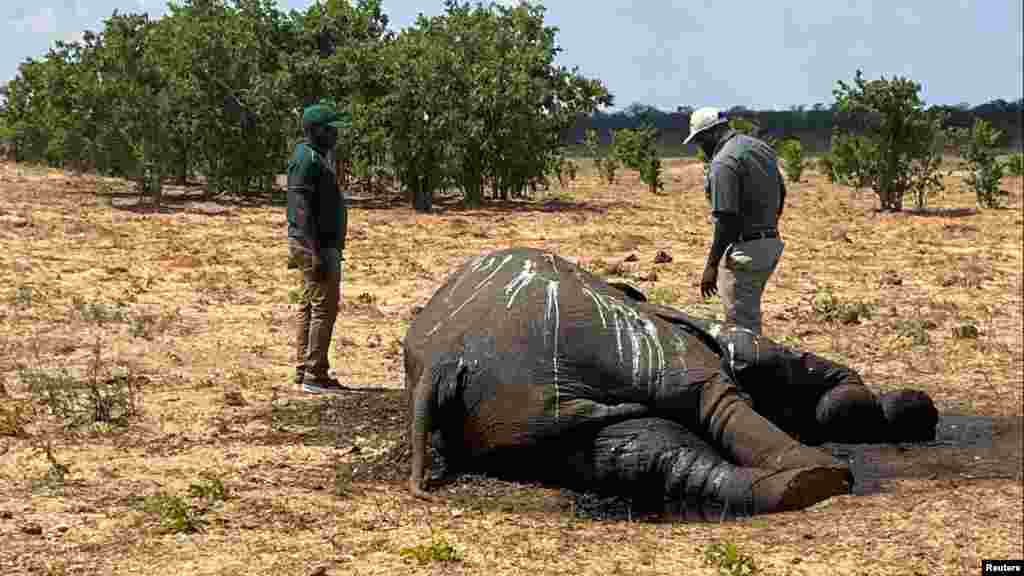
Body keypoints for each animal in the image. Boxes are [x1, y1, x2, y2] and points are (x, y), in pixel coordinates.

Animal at [403, 245, 937, 516]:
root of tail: (445, 359)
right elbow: (775, 364)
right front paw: (885, 408)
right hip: (611, 339)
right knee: (711, 394)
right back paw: (817, 477)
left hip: (520, 415)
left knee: (644, 453)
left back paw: (794, 485)